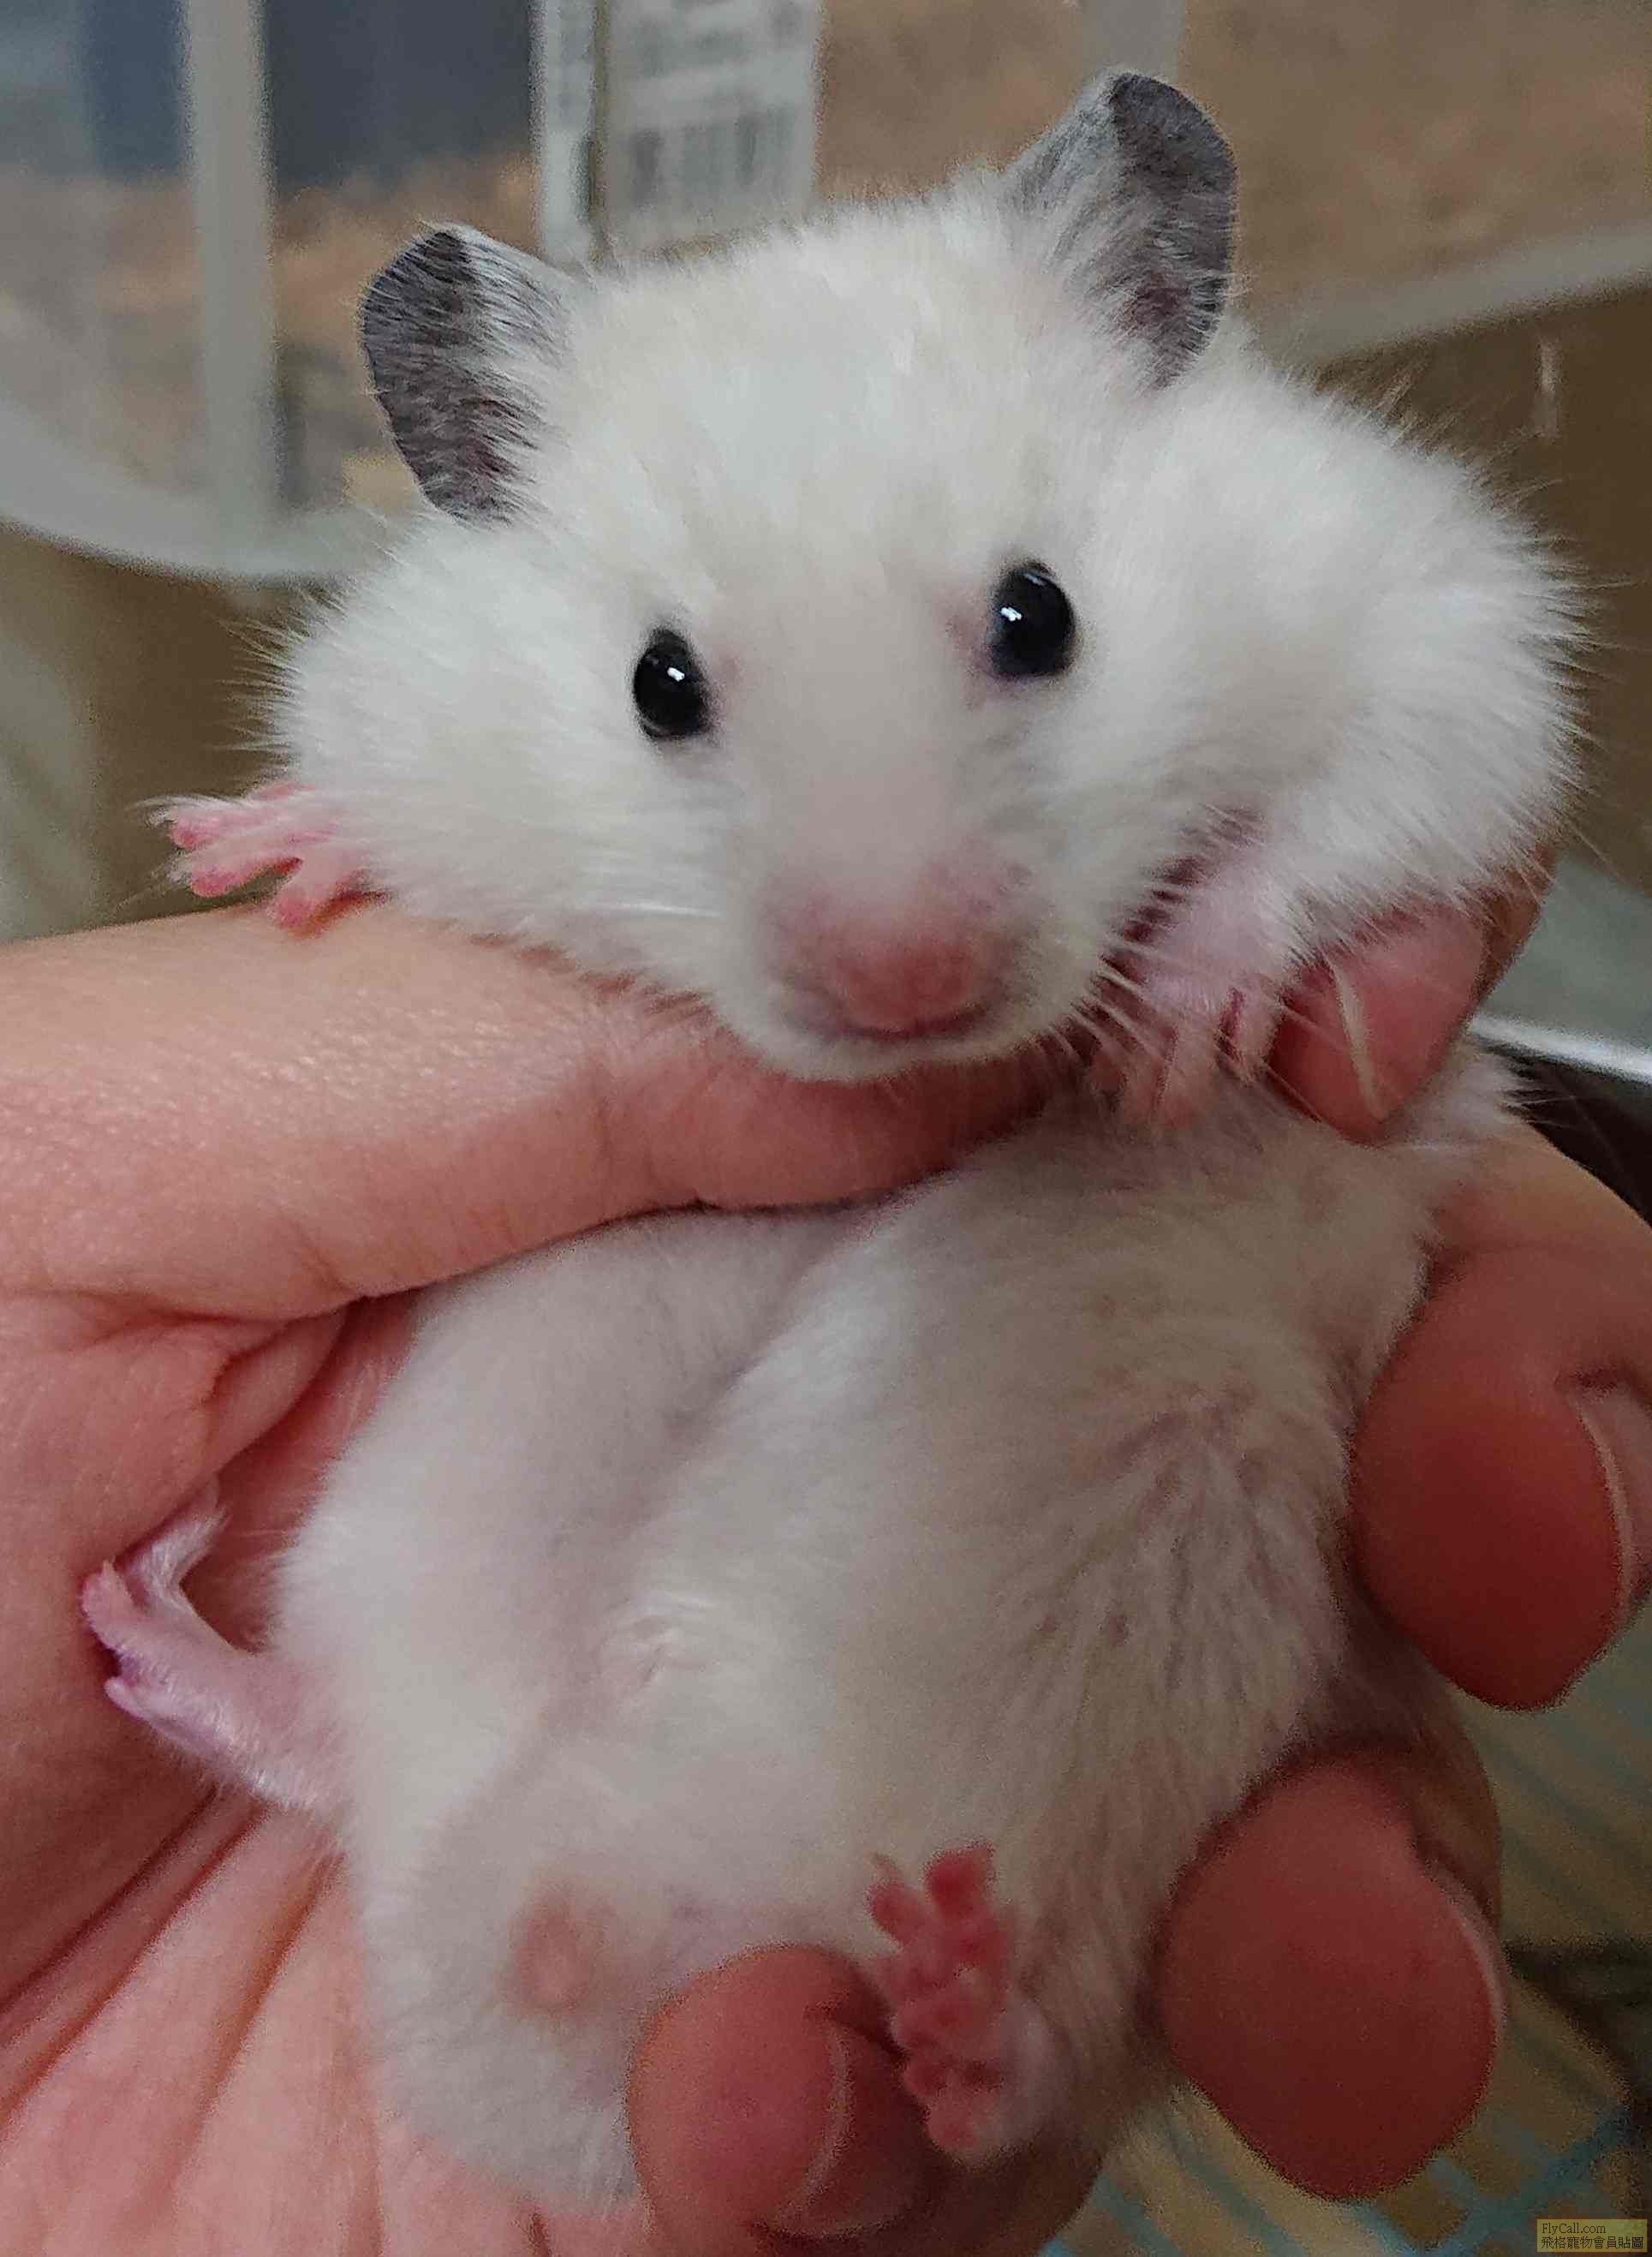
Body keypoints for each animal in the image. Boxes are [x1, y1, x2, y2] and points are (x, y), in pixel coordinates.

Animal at [84, 74, 1575, 2215]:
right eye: (658, 684)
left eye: (1039, 616)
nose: (901, 984)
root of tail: (529, 1912)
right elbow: (382, 803)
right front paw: (253, 852)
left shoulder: (1438, 632)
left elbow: (1344, 830)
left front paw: (1170, 1050)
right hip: (435, 1501)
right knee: (341, 1743)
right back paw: (154, 1634)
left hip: (1186, 1559)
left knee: (1041, 2031)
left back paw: (949, 2002)